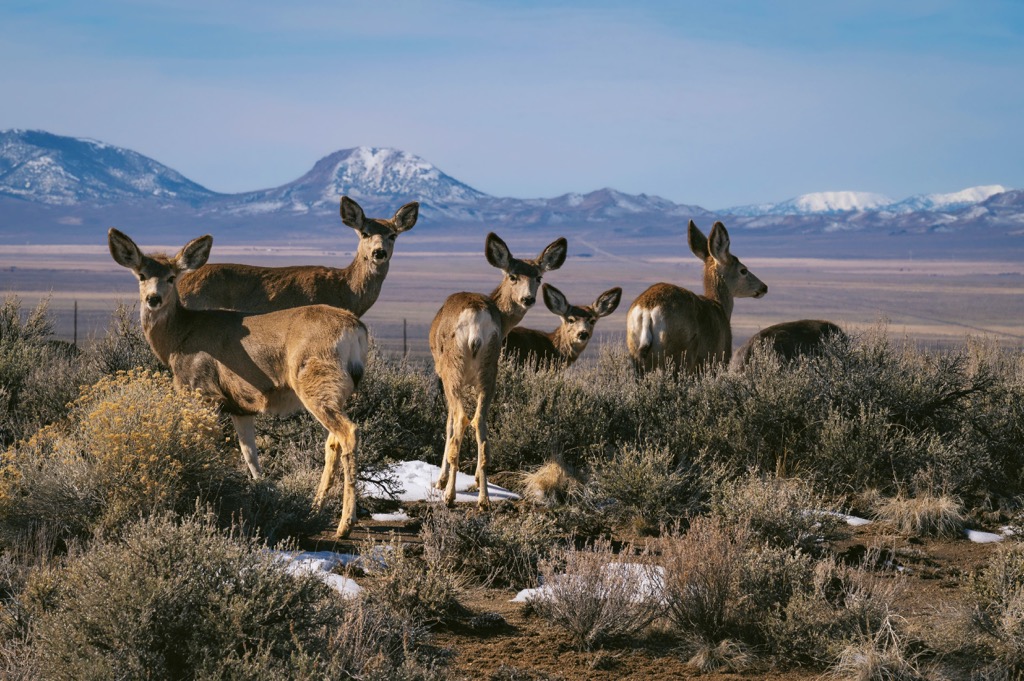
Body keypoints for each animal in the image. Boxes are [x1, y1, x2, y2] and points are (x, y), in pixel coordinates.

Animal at [108, 228, 368, 538]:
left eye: (172, 277)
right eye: (141, 275)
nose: (153, 299)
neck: (178, 338)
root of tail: (355, 329)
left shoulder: (202, 391)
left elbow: (205, 447)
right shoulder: (239, 407)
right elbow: (250, 456)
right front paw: (264, 495)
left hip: (316, 381)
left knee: (348, 432)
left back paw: (344, 525)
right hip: (336, 389)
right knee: (332, 440)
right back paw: (316, 509)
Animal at [429, 232, 568, 508]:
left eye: (538, 277)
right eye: (513, 276)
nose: (528, 298)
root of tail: (476, 320)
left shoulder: (445, 376)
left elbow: (448, 424)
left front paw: (440, 481)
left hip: (453, 370)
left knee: (461, 420)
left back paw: (450, 496)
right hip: (490, 369)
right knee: (480, 424)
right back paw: (483, 499)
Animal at [626, 220, 767, 374]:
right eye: (743, 270)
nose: (764, 287)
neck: (720, 307)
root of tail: (648, 311)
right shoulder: (719, 358)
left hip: (636, 353)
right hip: (680, 354)